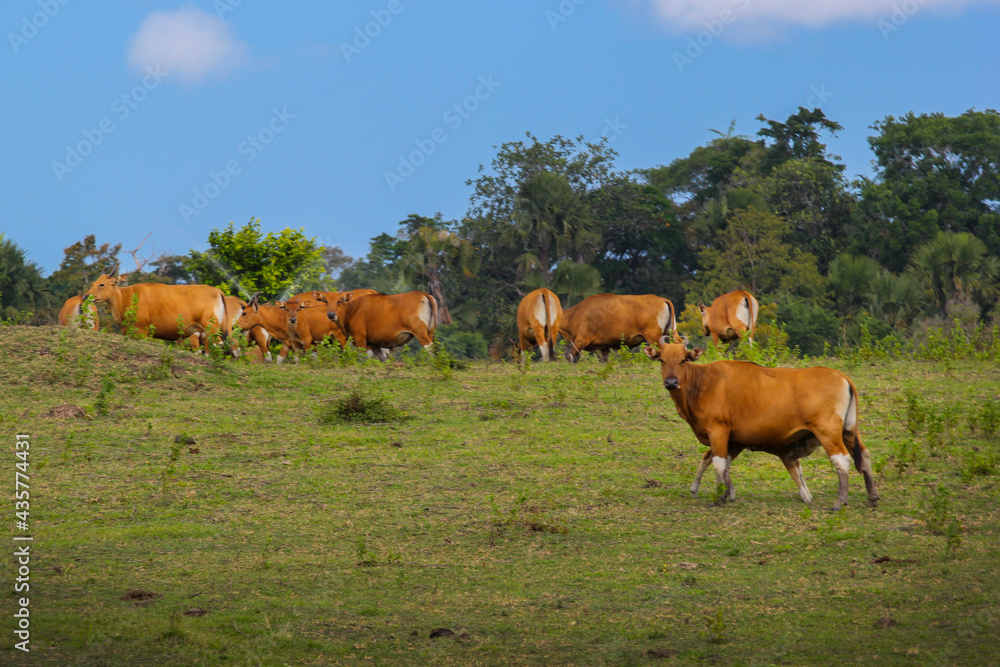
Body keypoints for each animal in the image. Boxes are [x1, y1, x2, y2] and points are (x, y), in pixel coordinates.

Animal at [83, 270, 232, 354]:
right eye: (94, 282)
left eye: (101, 284)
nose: (85, 296)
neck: (127, 297)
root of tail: (217, 291)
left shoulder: (141, 331)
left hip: (211, 327)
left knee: (216, 344)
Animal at [648, 342, 876, 508]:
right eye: (661, 360)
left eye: (683, 360)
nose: (671, 382)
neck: (704, 383)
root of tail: (840, 375)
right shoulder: (734, 439)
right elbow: (720, 462)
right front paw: (725, 493)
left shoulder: (718, 430)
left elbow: (719, 462)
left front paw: (719, 498)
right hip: (849, 429)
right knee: (863, 454)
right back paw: (872, 497)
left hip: (827, 431)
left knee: (842, 459)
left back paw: (840, 502)